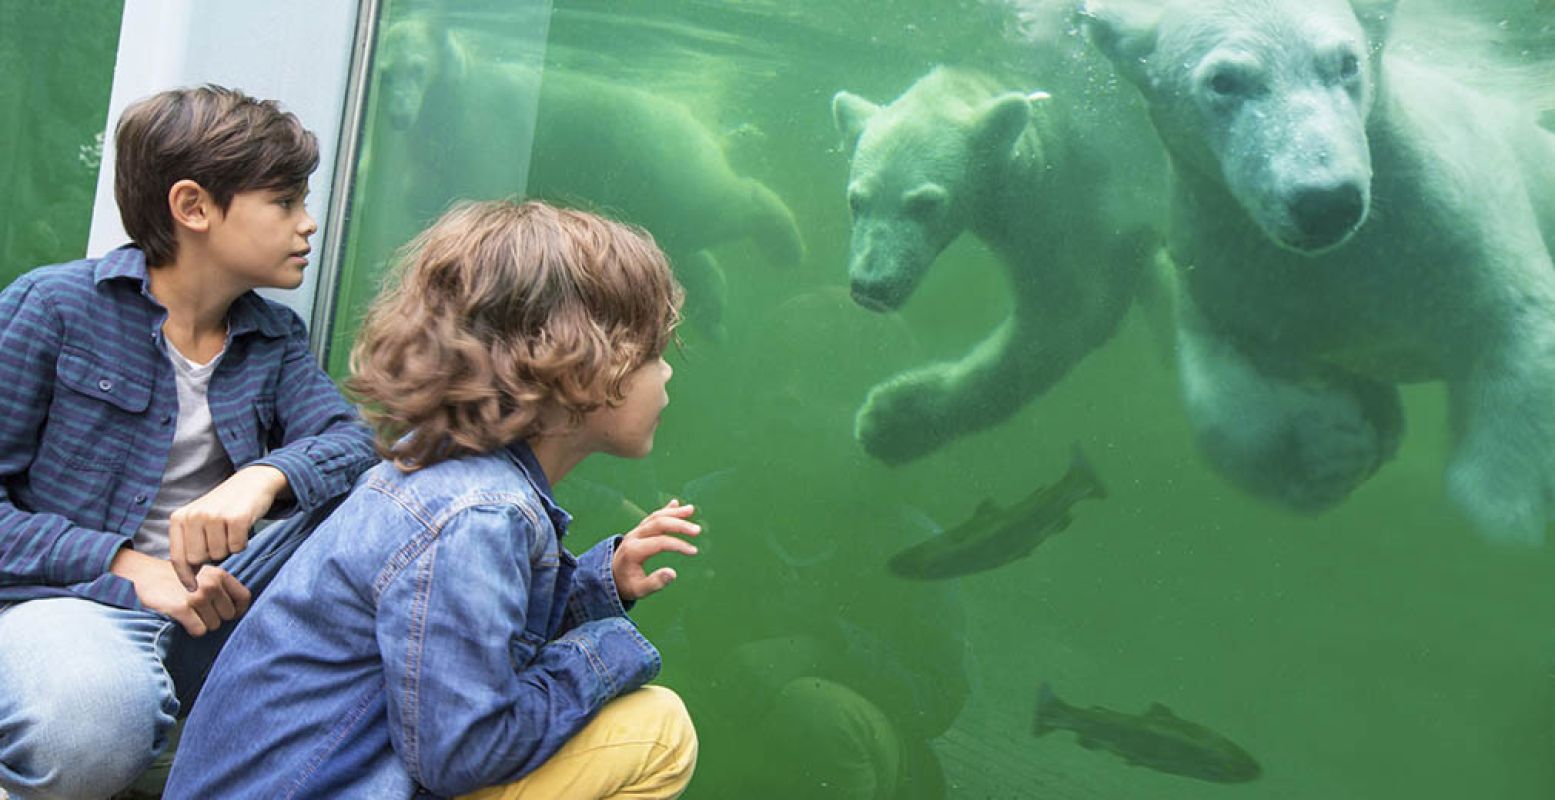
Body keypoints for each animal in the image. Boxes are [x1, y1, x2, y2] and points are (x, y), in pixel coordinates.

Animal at [360, 16, 802, 333]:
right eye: (386, 73)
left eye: (417, 68)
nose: (399, 115)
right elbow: (425, 192)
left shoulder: (486, 125)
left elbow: (478, 187)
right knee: (688, 243)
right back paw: (714, 312)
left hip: (660, 158)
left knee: (723, 201)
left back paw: (787, 245)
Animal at [833, 66, 1163, 463]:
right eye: (856, 201)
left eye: (925, 204)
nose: (871, 287)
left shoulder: (1076, 205)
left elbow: (1069, 312)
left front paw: (886, 421)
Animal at [1082, 0, 1555, 541]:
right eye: (1223, 80)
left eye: (1346, 62)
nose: (1325, 202)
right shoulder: (1224, 255)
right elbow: (1224, 383)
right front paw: (1333, 449)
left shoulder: (1451, 219)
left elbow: (1515, 319)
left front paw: (1504, 510)